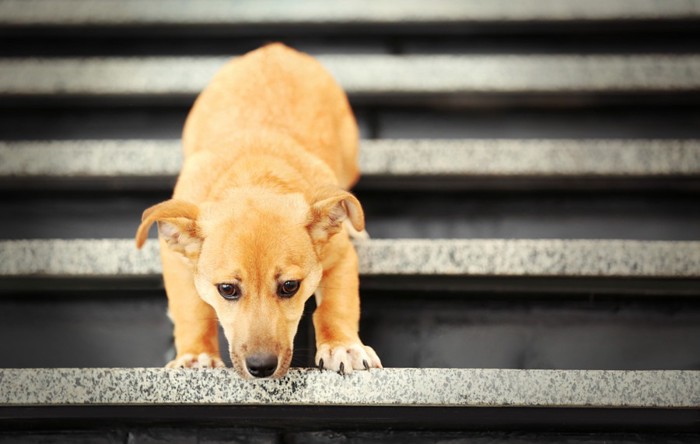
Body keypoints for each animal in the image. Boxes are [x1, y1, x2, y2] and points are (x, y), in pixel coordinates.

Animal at [135, 44, 382, 378]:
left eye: (290, 286)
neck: (254, 177)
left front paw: (343, 346)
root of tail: (276, 49)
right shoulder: (175, 261)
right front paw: (196, 355)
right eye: (227, 289)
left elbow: (336, 306)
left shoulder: (340, 256)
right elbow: (191, 309)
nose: (261, 368)